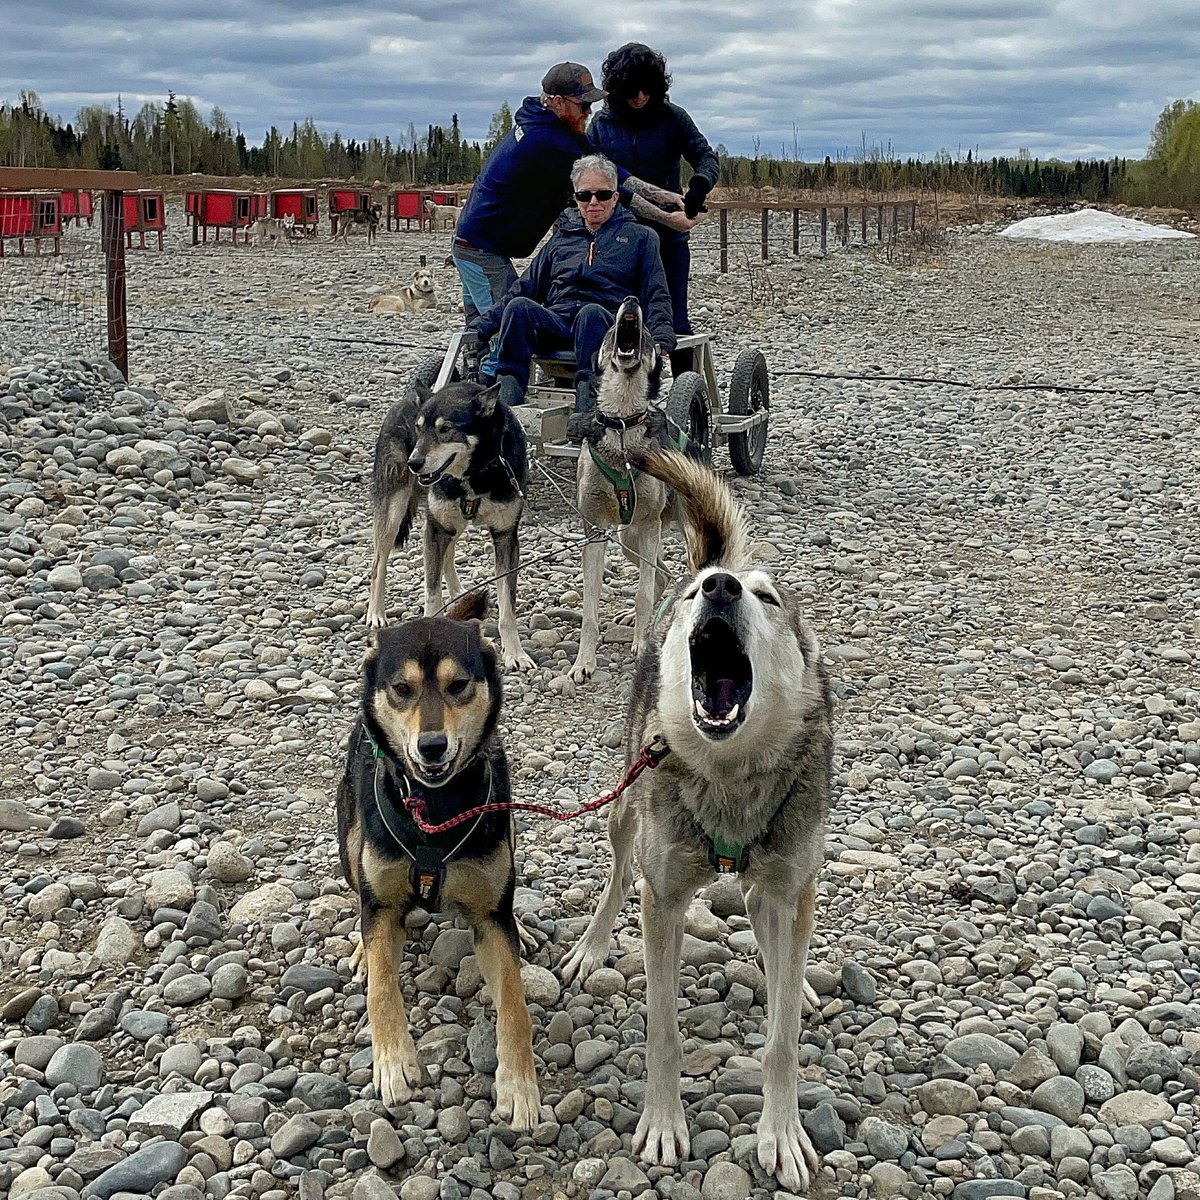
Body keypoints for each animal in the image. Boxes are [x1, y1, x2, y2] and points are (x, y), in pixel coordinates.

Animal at [364, 376, 535, 672]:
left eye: (445, 429)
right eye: (419, 429)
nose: (414, 462)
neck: (475, 474)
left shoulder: (505, 537)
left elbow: (507, 607)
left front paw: (515, 653)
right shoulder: (435, 528)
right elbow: (432, 593)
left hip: (453, 524)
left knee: (449, 554)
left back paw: (458, 592)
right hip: (394, 509)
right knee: (378, 564)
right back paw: (376, 612)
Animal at [561, 448, 835, 1190]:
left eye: (768, 599)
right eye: (697, 600)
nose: (719, 589)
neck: (730, 777)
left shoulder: (794, 887)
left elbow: (781, 1040)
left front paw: (781, 1132)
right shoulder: (664, 898)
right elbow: (663, 1028)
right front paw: (662, 1123)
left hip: (775, 885)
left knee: (767, 929)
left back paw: (791, 979)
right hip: (625, 811)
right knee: (616, 875)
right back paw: (592, 944)